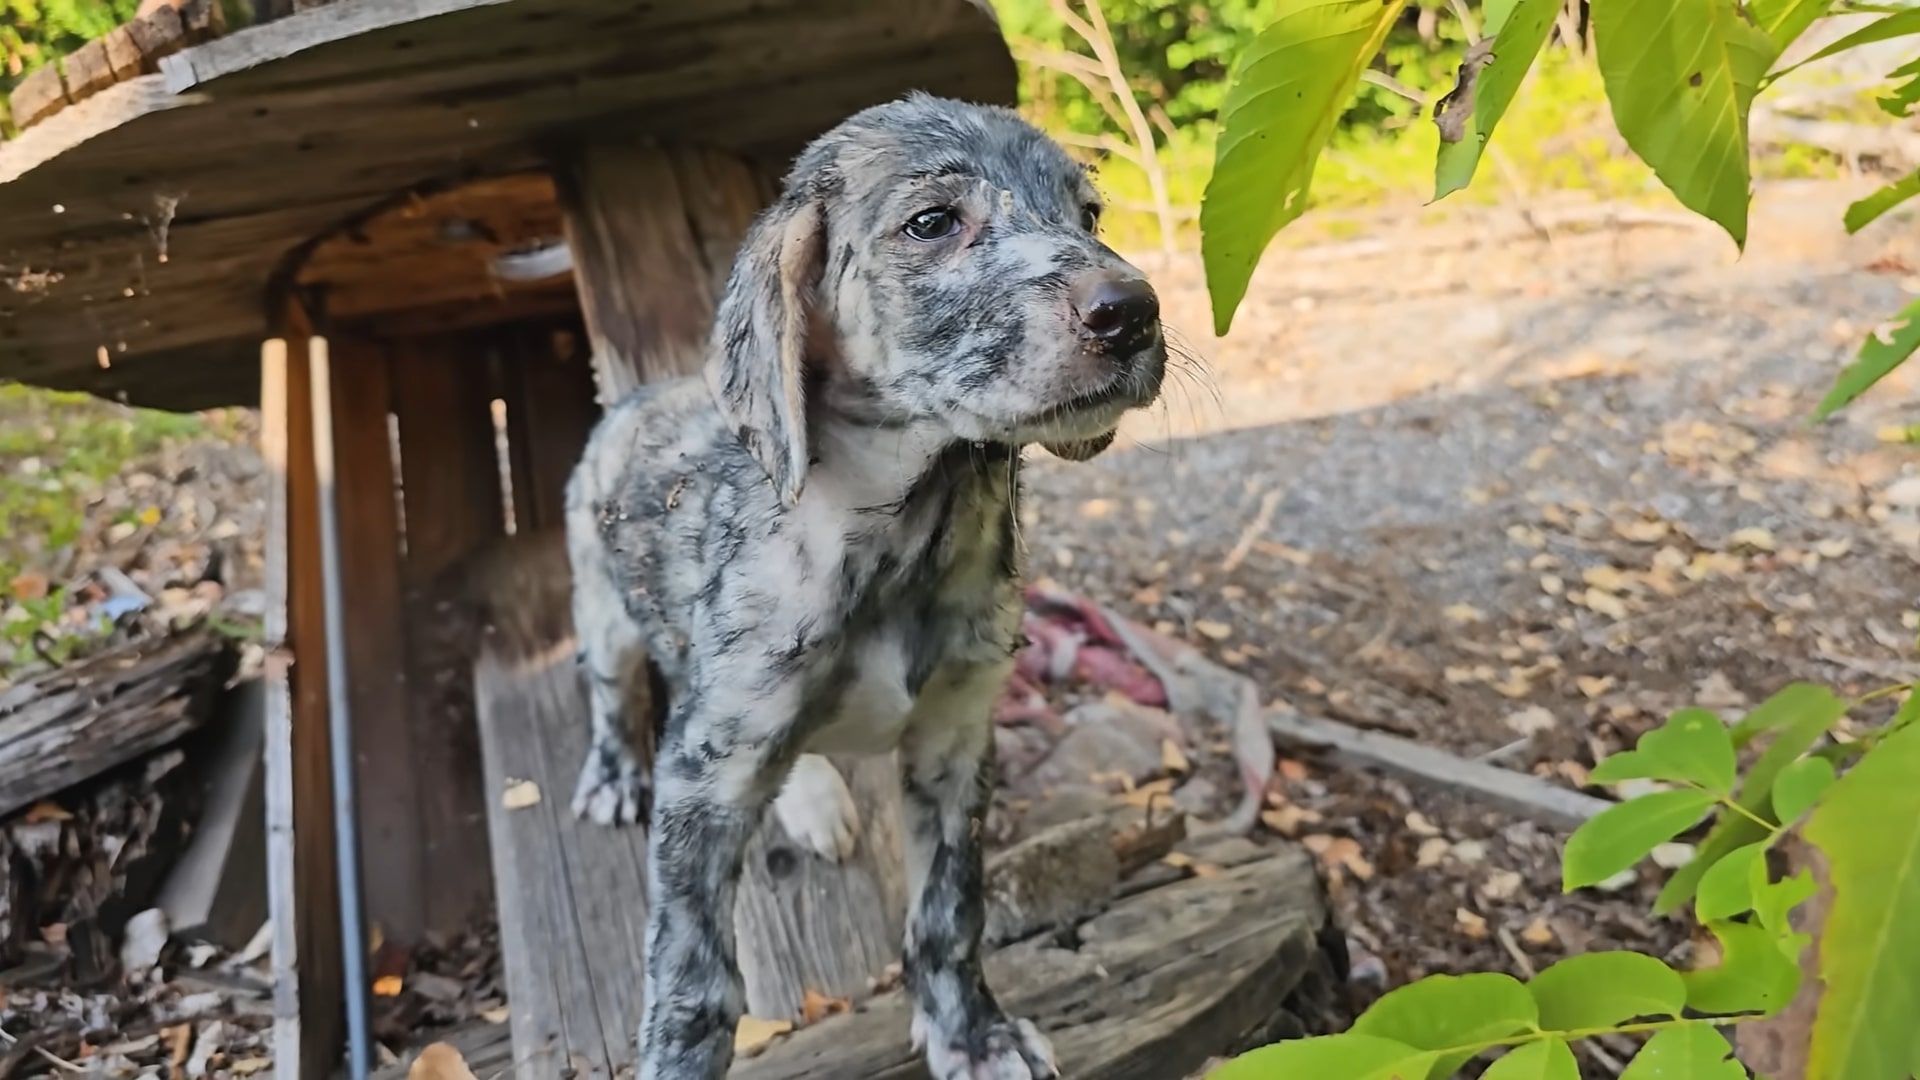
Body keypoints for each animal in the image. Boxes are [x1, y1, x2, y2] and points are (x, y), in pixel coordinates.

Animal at [564, 94, 1167, 1076]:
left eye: (1089, 217)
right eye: (932, 223)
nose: (1133, 313)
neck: (907, 538)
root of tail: (635, 399)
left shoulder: (955, 742)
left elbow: (949, 913)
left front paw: (973, 1034)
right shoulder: (704, 778)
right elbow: (693, 980)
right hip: (605, 614)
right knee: (611, 695)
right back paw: (619, 774)